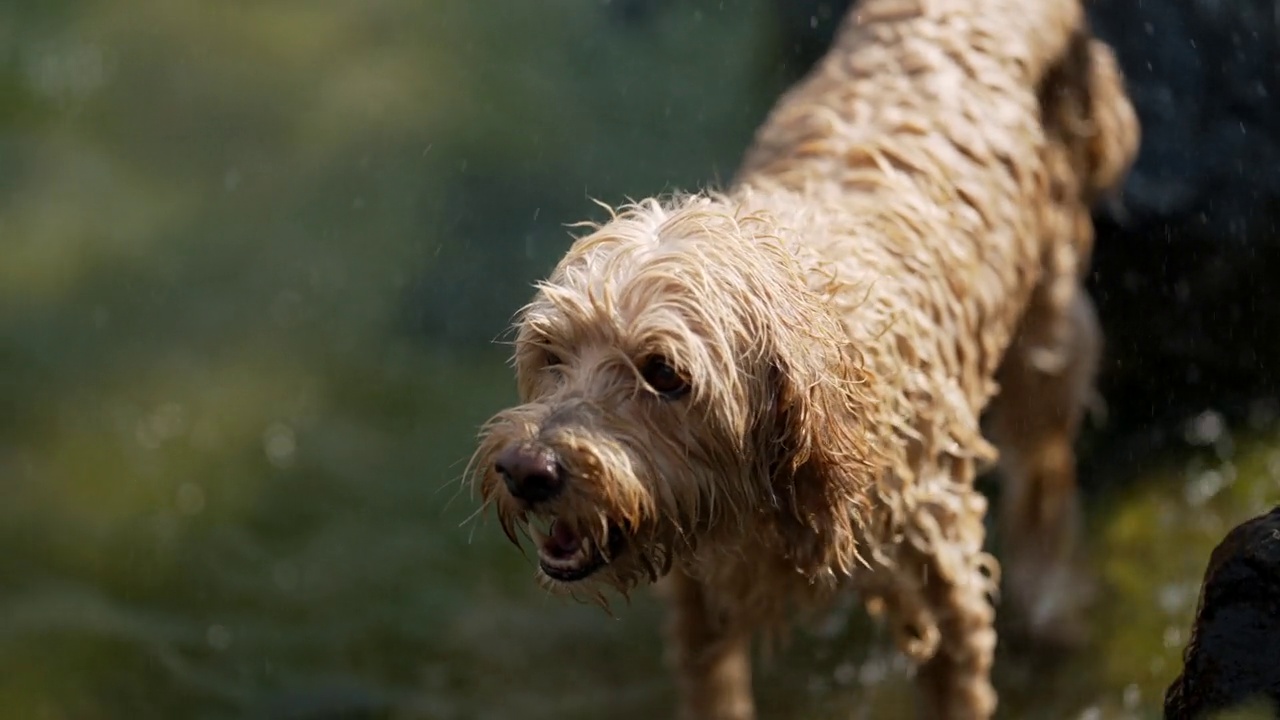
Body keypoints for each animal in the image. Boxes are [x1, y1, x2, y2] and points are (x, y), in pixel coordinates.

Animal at [471, 0, 1141, 712]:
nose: (526, 470)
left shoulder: (944, 588)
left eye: (664, 374)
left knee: (1045, 467)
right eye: (551, 354)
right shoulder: (700, 605)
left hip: (1049, 330)